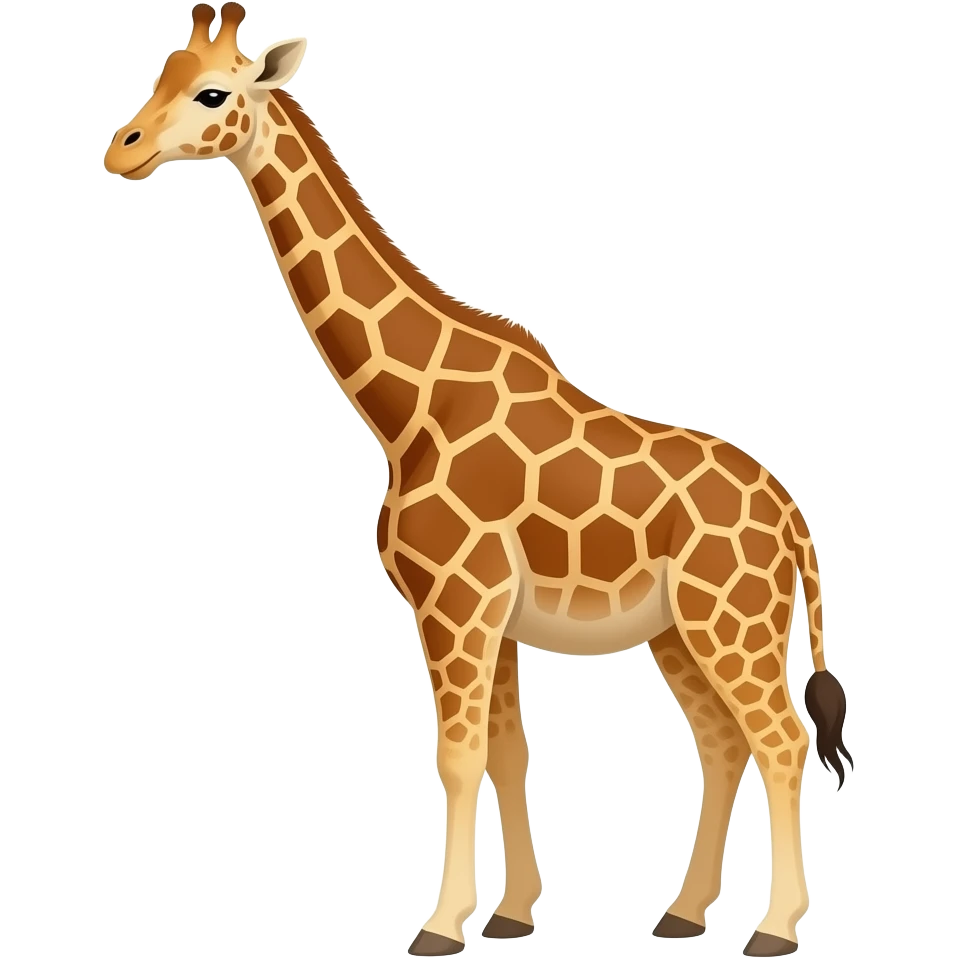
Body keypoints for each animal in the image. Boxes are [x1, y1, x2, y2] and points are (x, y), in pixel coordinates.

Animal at [101, 5, 854, 956]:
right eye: (161, 73)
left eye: (211, 92)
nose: (121, 150)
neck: (409, 408)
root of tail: (793, 516)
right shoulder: (485, 615)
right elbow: (505, 753)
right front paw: (510, 914)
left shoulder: (457, 602)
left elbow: (456, 759)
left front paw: (441, 924)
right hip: (681, 632)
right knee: (724, 743)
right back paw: (683, 914)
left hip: (734, 623)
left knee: (781, 739)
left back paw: (776, 928)